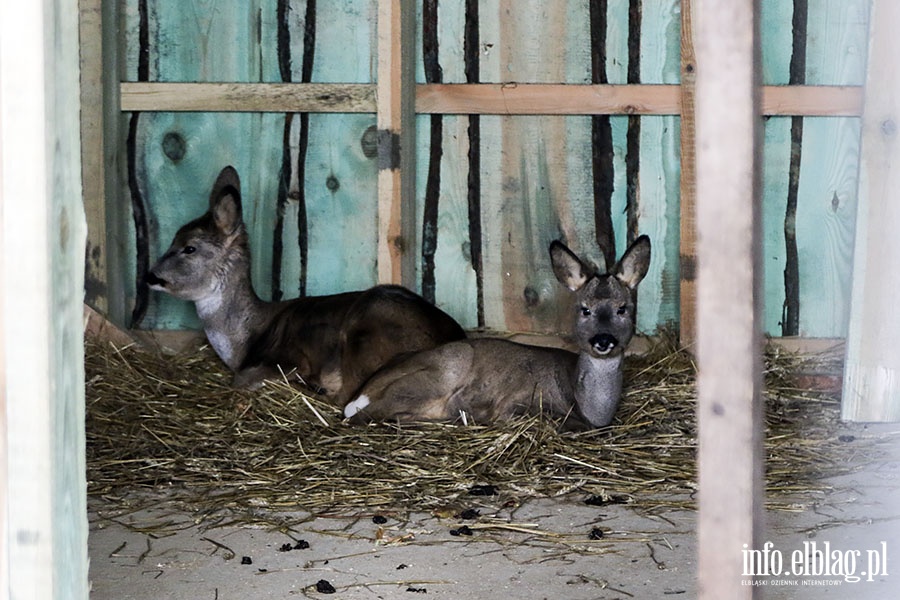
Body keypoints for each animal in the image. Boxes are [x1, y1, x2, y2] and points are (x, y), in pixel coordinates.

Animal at [342, 236, 648, 432]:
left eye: (623, 308)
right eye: (585, 309)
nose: (603, 340)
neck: (587, 406)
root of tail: (359, 395)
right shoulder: (515, 402)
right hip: (441, 371)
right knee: (368, 416)